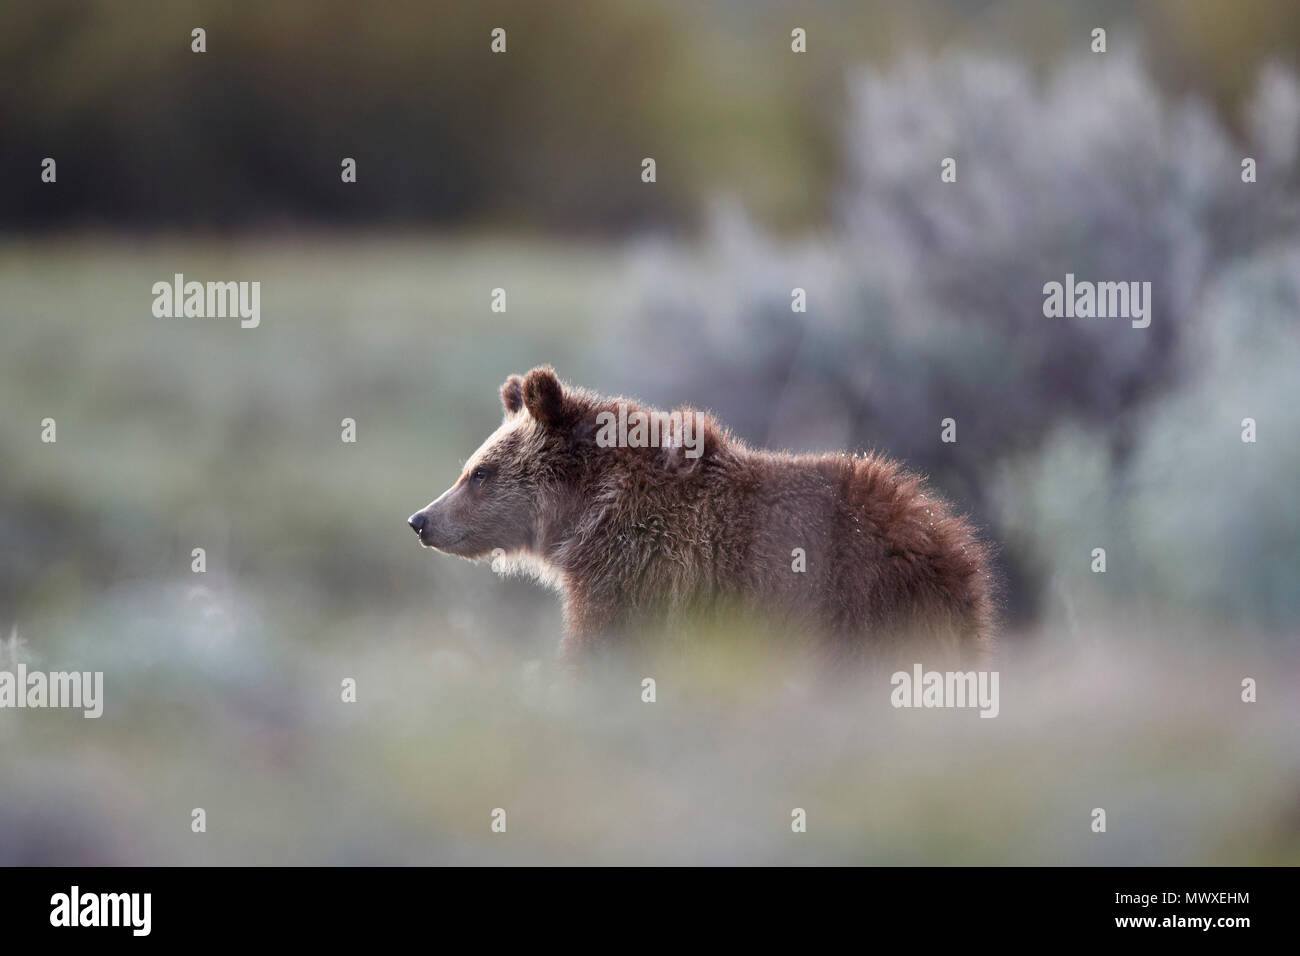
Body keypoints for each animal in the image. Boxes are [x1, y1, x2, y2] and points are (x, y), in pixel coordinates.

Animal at [408, 367, 996, 667]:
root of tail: (949, 546)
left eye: (479, 472)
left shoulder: (633, 570)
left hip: (853, 605)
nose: (421, 519)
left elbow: (604, 642)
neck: (589, 510)